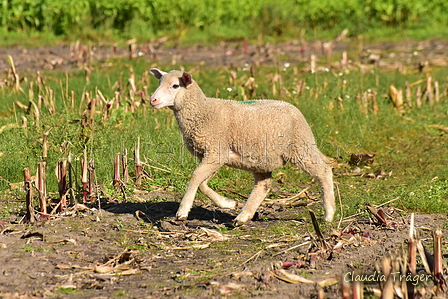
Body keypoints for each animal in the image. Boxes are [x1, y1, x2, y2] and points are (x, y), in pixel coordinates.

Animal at [149, 68, 334, 227]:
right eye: (159, 83)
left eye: (175, 86)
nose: (153, 100)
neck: (202, 111)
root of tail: (294, 108)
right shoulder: (214, 155)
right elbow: (202, 182)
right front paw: (228, 203)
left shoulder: (216, 151)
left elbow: (195, 177)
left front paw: (182, 211)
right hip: (262, 159)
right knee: (264, 185)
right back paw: (243, 216)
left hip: (300, 146)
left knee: (323, 170)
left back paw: (329, 214)